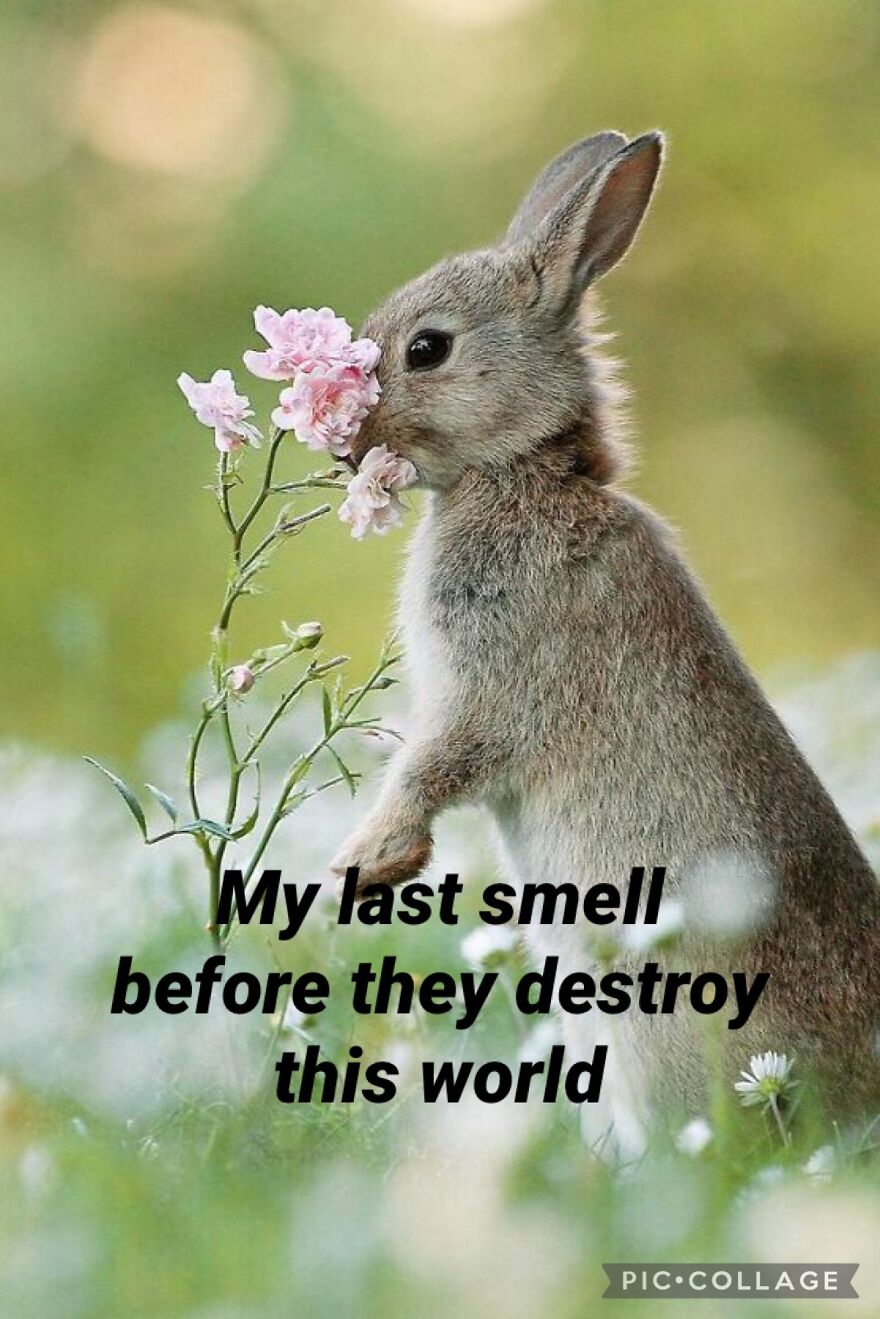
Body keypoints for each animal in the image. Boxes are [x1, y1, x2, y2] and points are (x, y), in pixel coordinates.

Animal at [330, 130, 880, 1155]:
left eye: (428, 348)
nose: (346, 444)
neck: (527, 473)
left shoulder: (492, 686)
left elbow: (434, 763)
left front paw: (365, 862)